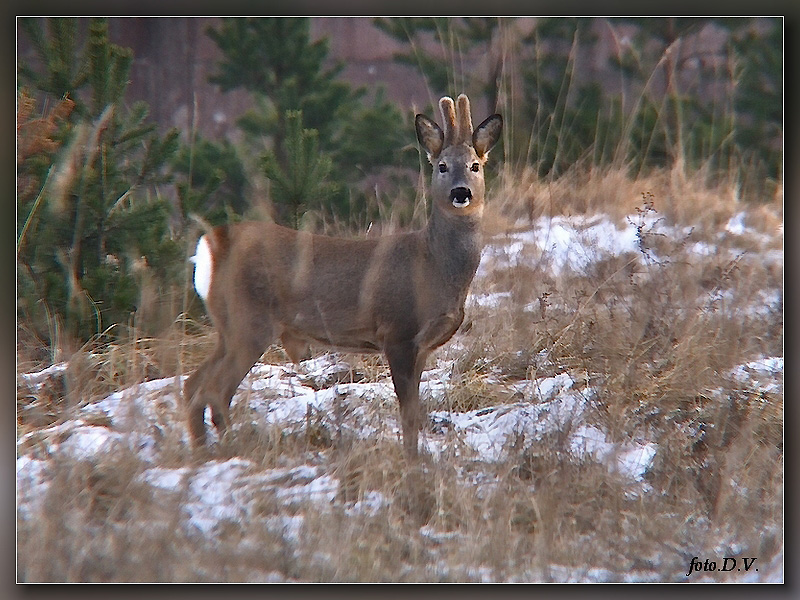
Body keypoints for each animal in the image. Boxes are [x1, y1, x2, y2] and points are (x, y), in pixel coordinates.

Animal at [184, 92, 504, 454]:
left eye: (475, 165)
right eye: (442, 166)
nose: (460, 193)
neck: (433, 266)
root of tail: (214, 241)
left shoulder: (421, 346)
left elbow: (414, 409)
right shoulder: (397, 331)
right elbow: (408, 412)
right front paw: (412, 459)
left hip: (228, 326)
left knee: (193, 384)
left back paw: (202, 451)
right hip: (249, 321)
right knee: (215, 389)